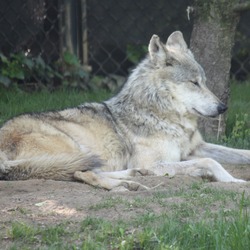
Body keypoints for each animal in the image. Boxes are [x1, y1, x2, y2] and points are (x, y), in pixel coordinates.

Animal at [0, 31, 250, 191]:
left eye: (204, 82)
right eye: (193, 83)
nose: (223, 107)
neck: (165, 118)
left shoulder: (196, 148)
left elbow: (239, 153)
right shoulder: (155, 162)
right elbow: (210, 162)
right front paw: (234, 182)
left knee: (86, 170)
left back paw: (134, 178)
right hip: (74, 147)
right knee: (82, 172)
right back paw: (127, 185)